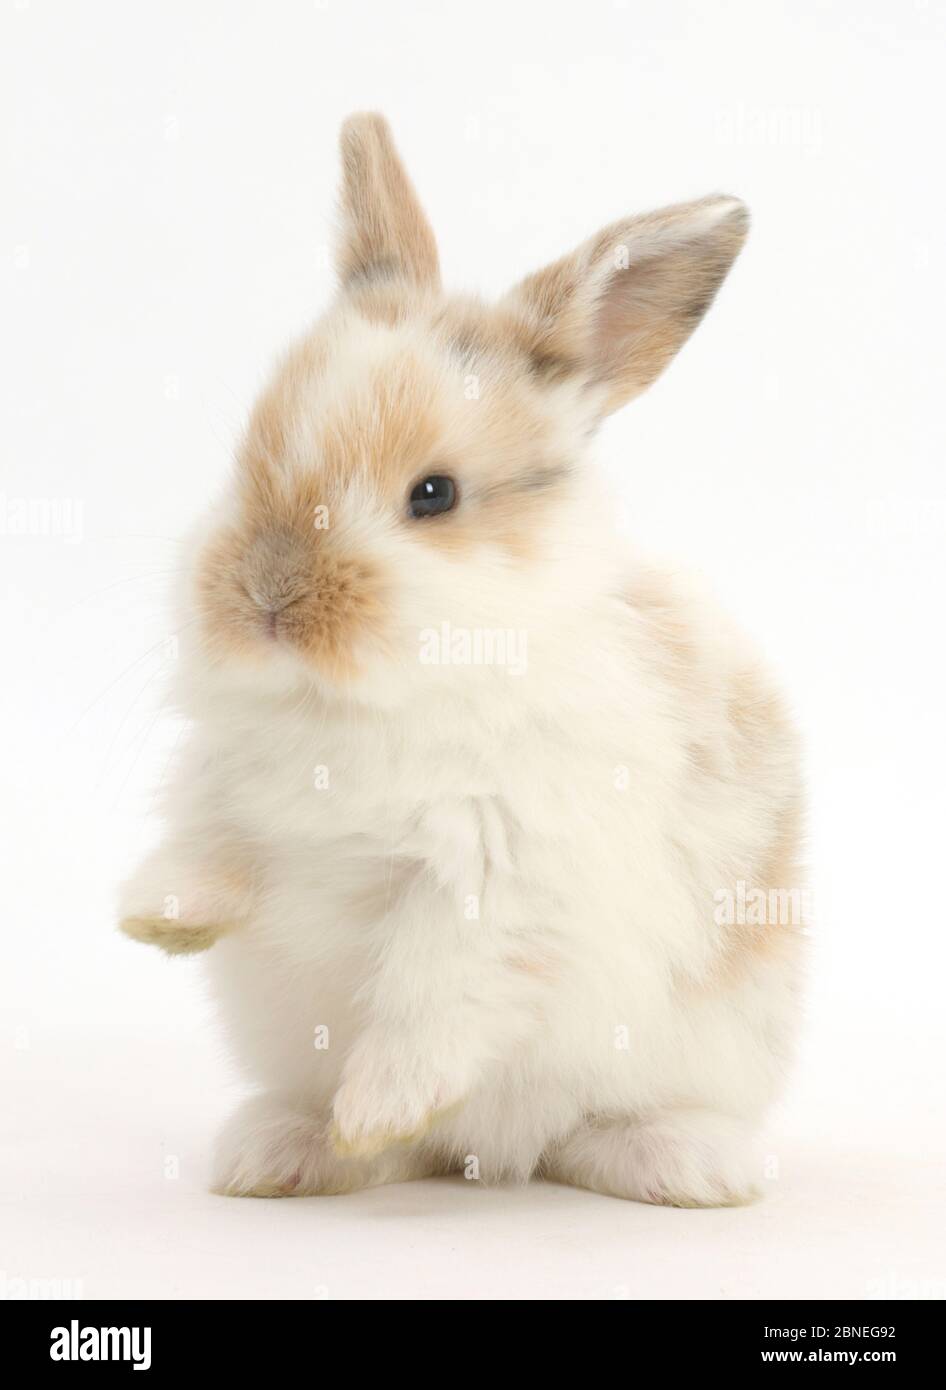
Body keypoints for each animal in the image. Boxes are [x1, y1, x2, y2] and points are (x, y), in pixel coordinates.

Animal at [119, 113, 805, 1206]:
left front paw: (377, 1106)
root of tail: (499, 1153)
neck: (368, 702)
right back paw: (281, 1151)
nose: (265, 594)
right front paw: (158, 920)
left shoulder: (501, 877)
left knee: (592, 1128)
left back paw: (688, 1167)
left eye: (432, 495)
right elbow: (210, 849)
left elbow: (434, 991)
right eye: (248, 452)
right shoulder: (226, 790)